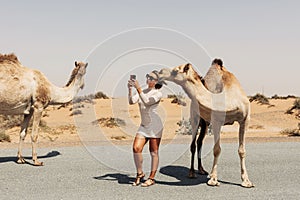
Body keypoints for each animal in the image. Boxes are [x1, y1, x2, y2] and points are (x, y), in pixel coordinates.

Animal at [158, 59, 254, 188]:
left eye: (175, 71)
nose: (160, 72)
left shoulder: (245, 120)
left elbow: (242, 150)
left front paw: (246, 181)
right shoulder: (217, 121)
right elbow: (217, 149)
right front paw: (213, 179)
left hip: (205, 123)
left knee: (199, 142)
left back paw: (202, 170)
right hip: (195, 118)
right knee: (193, 144)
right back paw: (192, 172)